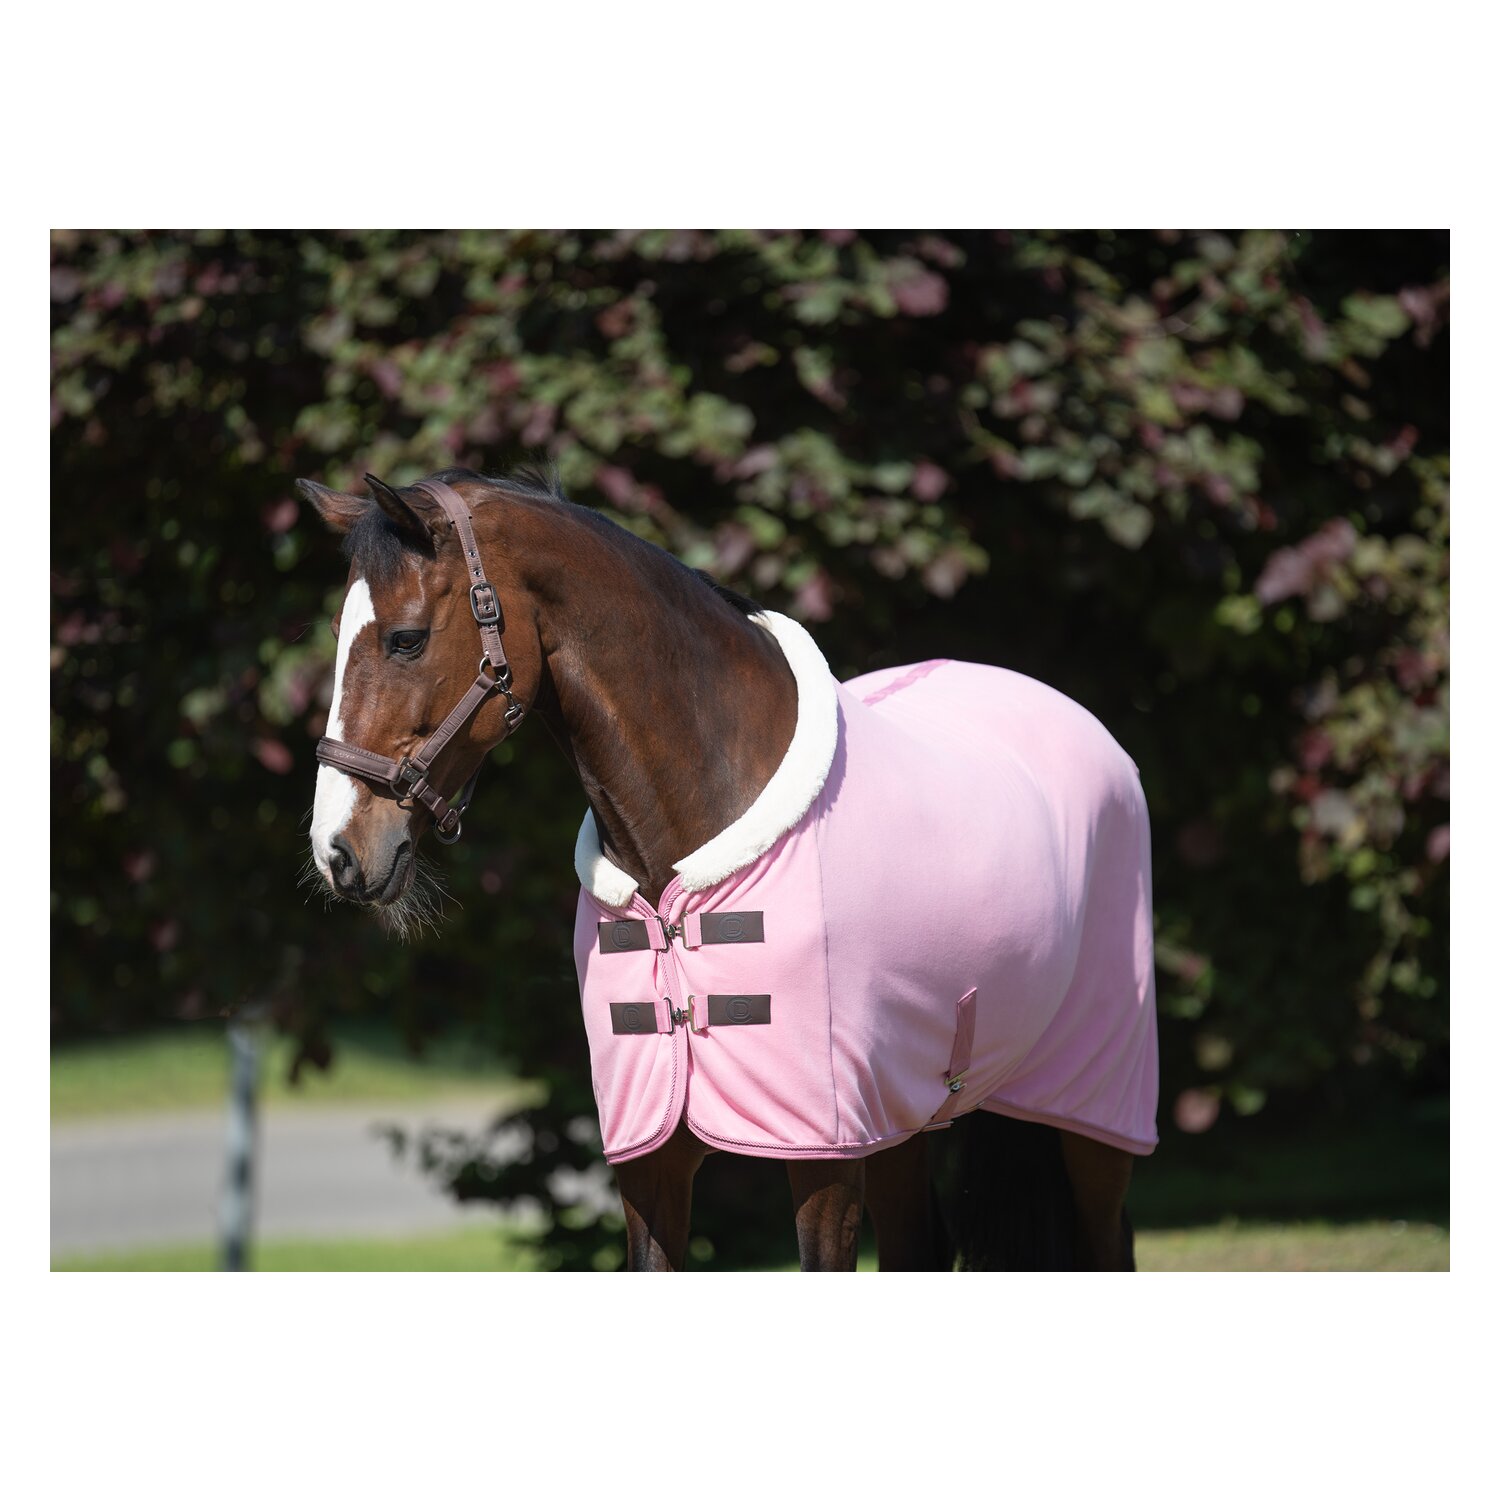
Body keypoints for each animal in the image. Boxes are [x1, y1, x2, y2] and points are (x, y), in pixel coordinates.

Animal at [297, 467, 1158, 1271]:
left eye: (406, 638)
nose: (338, 851)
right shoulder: (652, 1163)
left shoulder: (823, 1158)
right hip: (904, 1114)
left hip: (1093, 1116)